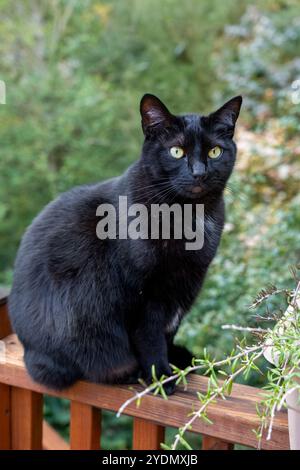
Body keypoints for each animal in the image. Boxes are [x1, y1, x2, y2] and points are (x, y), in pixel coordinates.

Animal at [8, 92, 241, 392]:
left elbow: (169, 330)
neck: (190, 215)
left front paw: (174, 361)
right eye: (176, 151)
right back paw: (131, 372)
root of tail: (29, 352)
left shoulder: (186, 282)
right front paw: (160, 376)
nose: (199, 173)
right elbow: (150, 336)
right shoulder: (145, 293)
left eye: (215, 151)